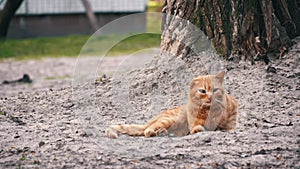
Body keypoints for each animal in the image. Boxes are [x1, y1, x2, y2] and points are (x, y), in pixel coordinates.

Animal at [106, 70, 238, 138]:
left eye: (215, 90)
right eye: (202, 91)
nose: (210, 97)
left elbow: (227, 127)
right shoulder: (194, 122)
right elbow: (197, 127)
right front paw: (199, 129)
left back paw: (162, 132)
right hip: (170, 120)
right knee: (147, 130)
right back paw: (153, 132)